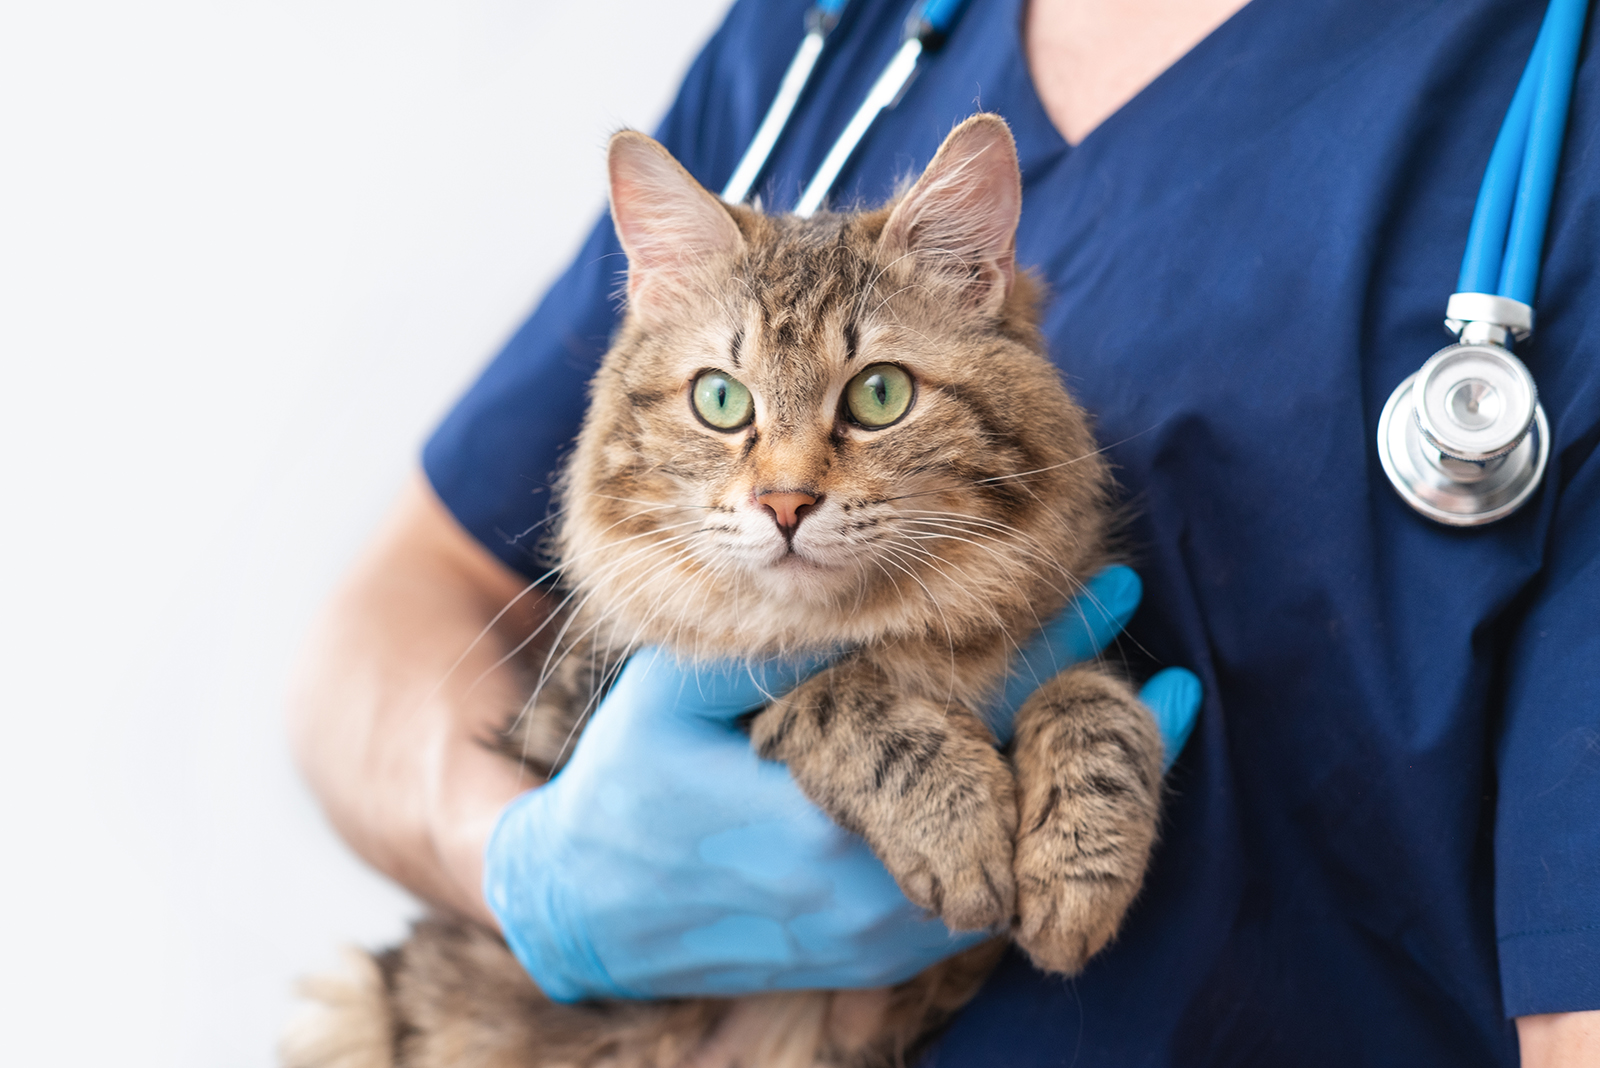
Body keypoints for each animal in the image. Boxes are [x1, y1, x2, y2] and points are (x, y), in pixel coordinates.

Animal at [281, 115, 1164, 1068]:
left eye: (879, 394)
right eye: (719, 399)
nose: (785, 503)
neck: (891, 631)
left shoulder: (1067, 624)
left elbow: (1095, 702)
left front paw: (1081, 871)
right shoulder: (611, 703)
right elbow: (833, 695)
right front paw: (960, 826)